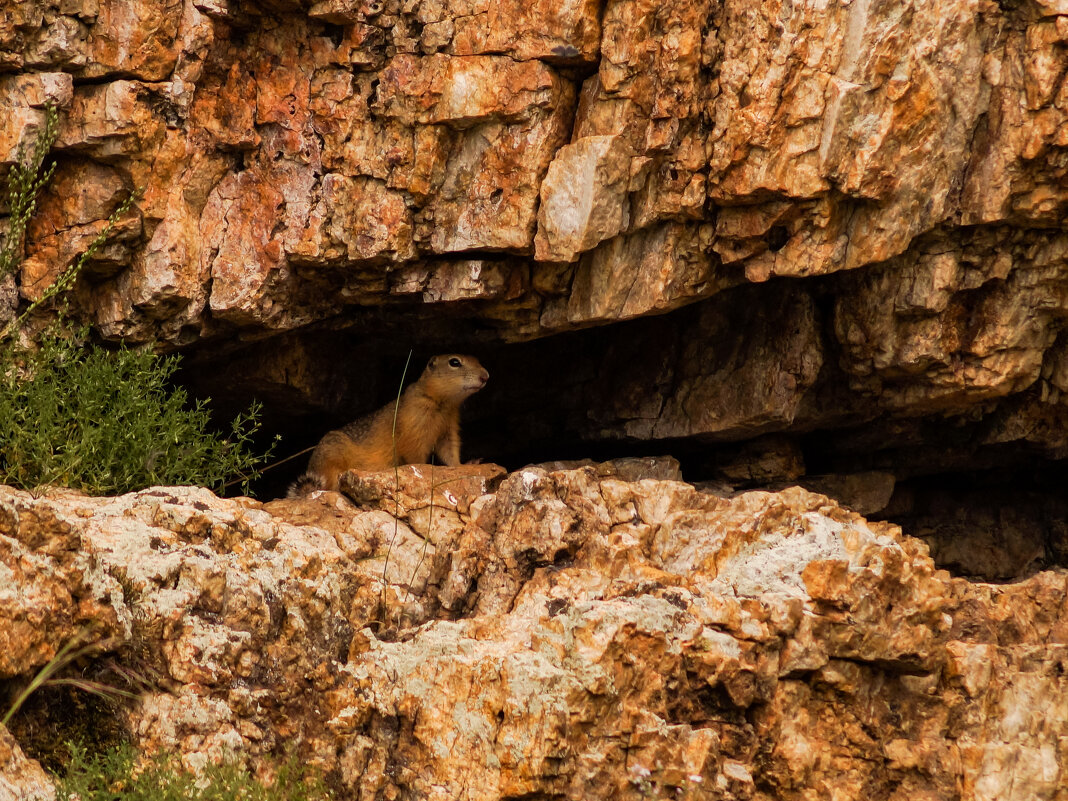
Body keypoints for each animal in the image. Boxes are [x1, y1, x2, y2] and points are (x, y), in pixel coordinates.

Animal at [292, 356, 491, 499]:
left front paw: (466, 464)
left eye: (478, 359)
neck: (442, 403)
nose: (486, 376)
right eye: (454, 362)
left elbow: (450, 452)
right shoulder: (414, 428)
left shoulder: (448, 429)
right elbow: (416, 457)